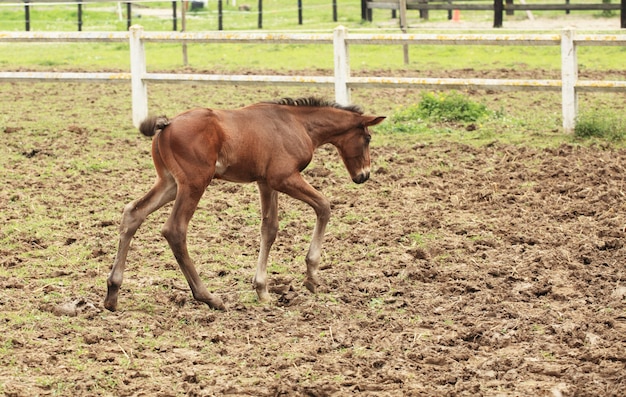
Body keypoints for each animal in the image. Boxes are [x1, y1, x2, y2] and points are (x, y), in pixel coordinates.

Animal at [105, 97, 382, 310]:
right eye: (367, 138)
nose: (364, 175)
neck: (297, 123)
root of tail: (167, 125)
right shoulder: (284, 178)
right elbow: (324, 206)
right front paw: (312, 276)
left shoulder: (266, 182)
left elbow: (269, 229)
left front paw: (262, 290)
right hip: (194, 184)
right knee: (174, 229)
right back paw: (208, 297)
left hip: (170, 183)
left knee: (133, 213)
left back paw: (112, 293)